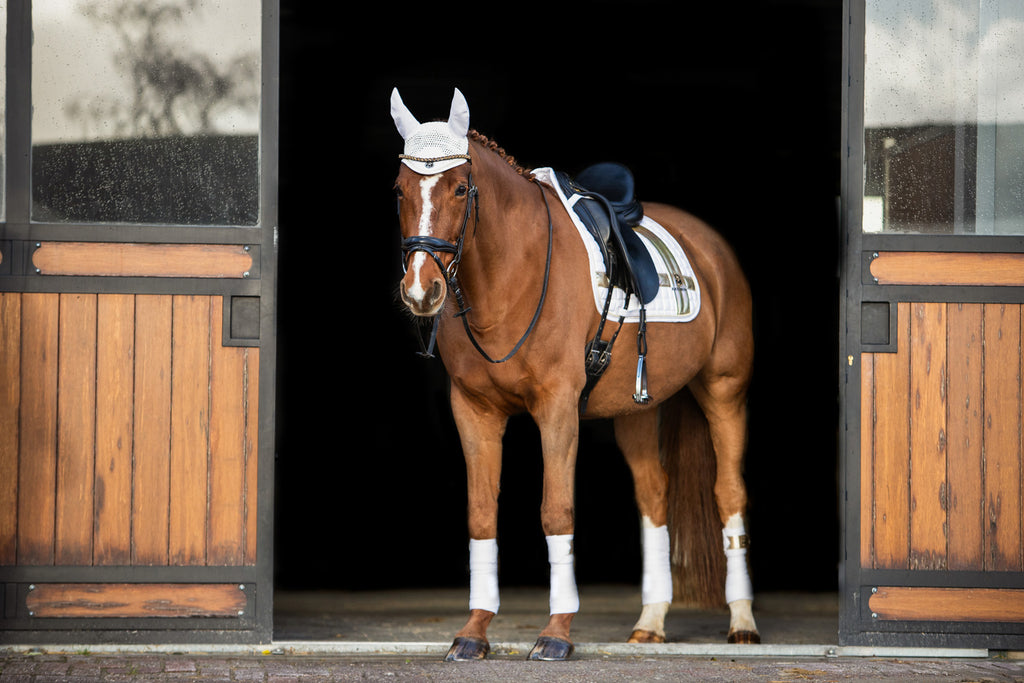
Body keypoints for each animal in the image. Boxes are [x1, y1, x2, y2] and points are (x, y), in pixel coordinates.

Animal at [387, 88, 757, 659]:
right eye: (400, 189)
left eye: (460, 187)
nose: (421, 290)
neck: (509, 275)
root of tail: (711, 246)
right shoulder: (473, 410)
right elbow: (481, 515)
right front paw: (473, 632)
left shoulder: (557, 409)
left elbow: (556, 511)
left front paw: (557, 633)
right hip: (635, 411)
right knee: (653, 496)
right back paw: (651, 621)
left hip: (724, 391)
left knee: (729, 494)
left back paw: (742, 620)